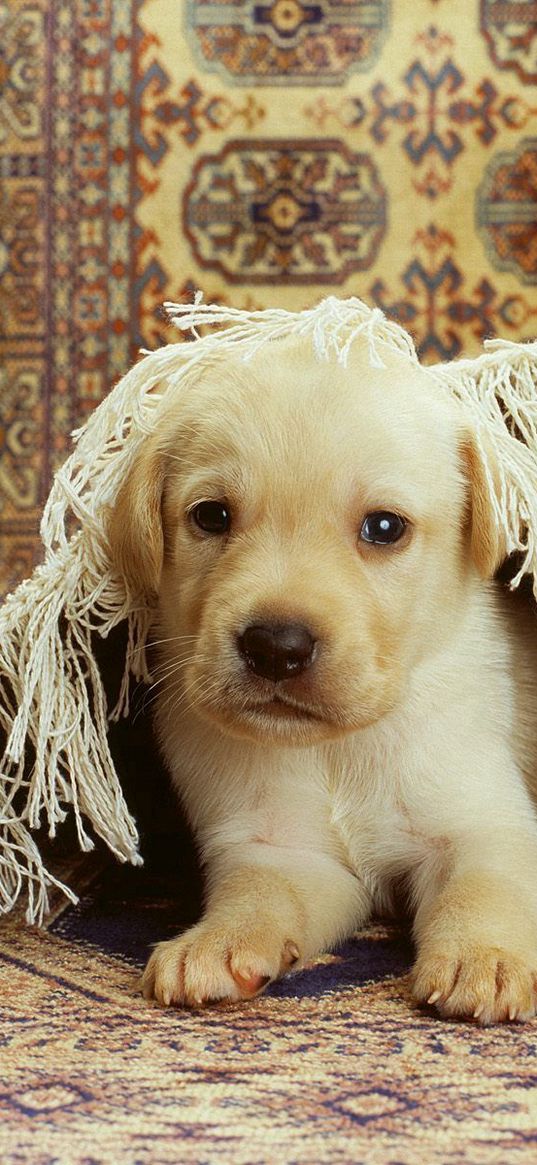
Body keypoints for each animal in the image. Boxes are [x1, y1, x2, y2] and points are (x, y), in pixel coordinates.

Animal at [106, 335, 535, 1020]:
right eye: (211, 516)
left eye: (384, 527)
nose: (275, 648)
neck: (339, 747)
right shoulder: (283, 852)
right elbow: (256, 895)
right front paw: (215, 942)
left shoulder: (481, 825)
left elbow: (484, 888)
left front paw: (482, 957)